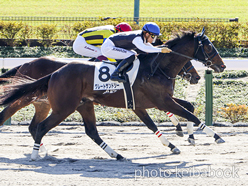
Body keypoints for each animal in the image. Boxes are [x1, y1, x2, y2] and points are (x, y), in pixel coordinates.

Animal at [0, 29, 226, 161]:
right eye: (209, 46)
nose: (222, 66)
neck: (156, 68)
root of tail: (55, 73)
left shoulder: (146, 103)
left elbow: (183, 111)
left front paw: (182, 139)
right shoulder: (161, 101)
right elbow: (190, 114)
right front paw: (215, 136)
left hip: (75, 104)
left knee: (89, 131)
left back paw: (116, 155)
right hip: (61, 107)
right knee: (35, 125)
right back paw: (36, 155)